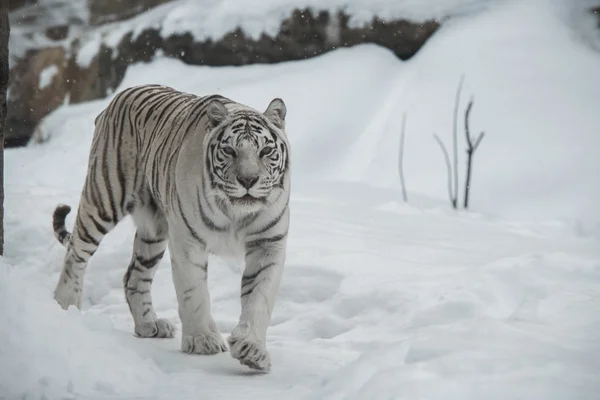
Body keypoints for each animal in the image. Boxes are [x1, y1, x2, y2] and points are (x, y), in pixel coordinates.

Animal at [52, 85, 292, 372]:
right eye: (230, 151)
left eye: (265, 151)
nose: (248, 180)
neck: (236, 214)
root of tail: (118, 97)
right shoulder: (187, 241)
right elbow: (194, 292)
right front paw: (202, 340)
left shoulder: (268, 243)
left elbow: (259, 298)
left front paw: (252, 350)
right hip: (104, 198)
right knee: (76, 252)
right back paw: (65, 306)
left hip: (154, 230)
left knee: (134, 276)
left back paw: (149, 325)